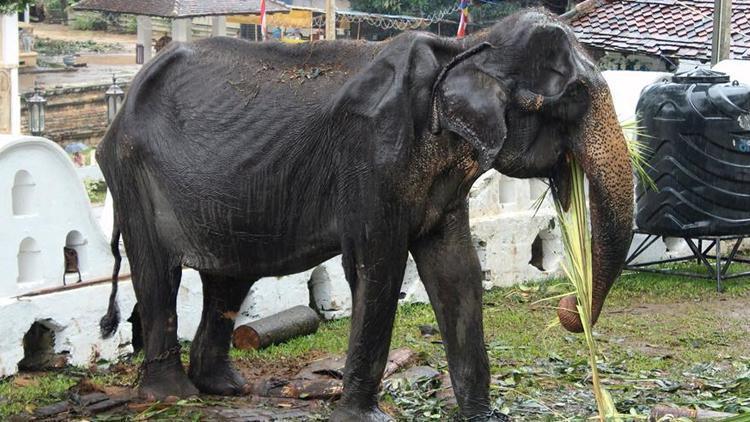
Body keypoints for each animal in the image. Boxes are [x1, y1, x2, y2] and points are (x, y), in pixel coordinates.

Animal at [95, 7, 636, 422]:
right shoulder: (371, 157)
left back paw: (226, 389)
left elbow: (458, 271)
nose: (569, 306)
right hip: (132, 174)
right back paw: (173, 396)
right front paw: (365, 417)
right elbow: (377, 269)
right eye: (575, 97)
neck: (465, 49)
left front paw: (485, 417)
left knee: (228, 279)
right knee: (158, 274)